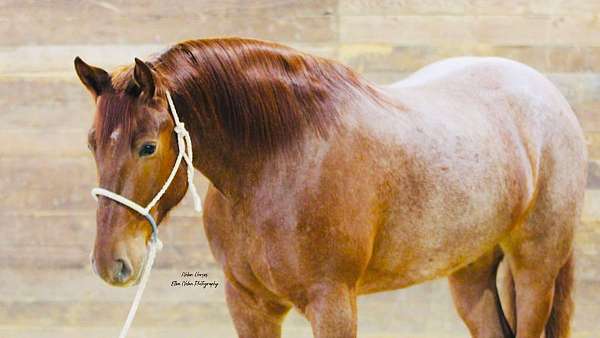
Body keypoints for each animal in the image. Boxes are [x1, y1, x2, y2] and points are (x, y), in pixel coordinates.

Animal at [74, 37, 584, 338]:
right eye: (92, 142)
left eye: (146, 146)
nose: (111, 263)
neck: (276, 162)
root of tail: (548, 95)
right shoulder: (249, 305)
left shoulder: (332, 303)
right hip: (470, 272)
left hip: (535, 268)